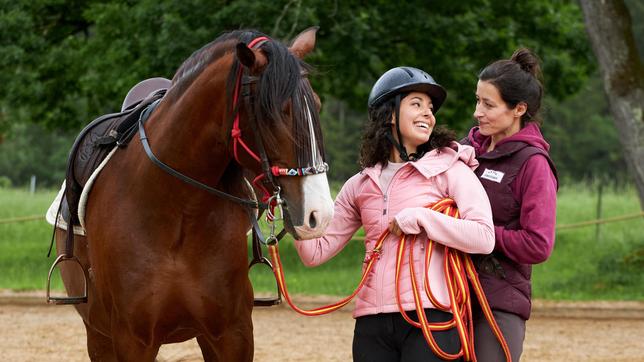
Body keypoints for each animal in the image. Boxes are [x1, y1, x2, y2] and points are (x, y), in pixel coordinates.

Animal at [53, 26, 334, 360]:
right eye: (274, 112)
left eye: (317, 105)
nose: (320, 214)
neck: (178, 211)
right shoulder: (131, 339)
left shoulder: (232, 334)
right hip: (98, 335)